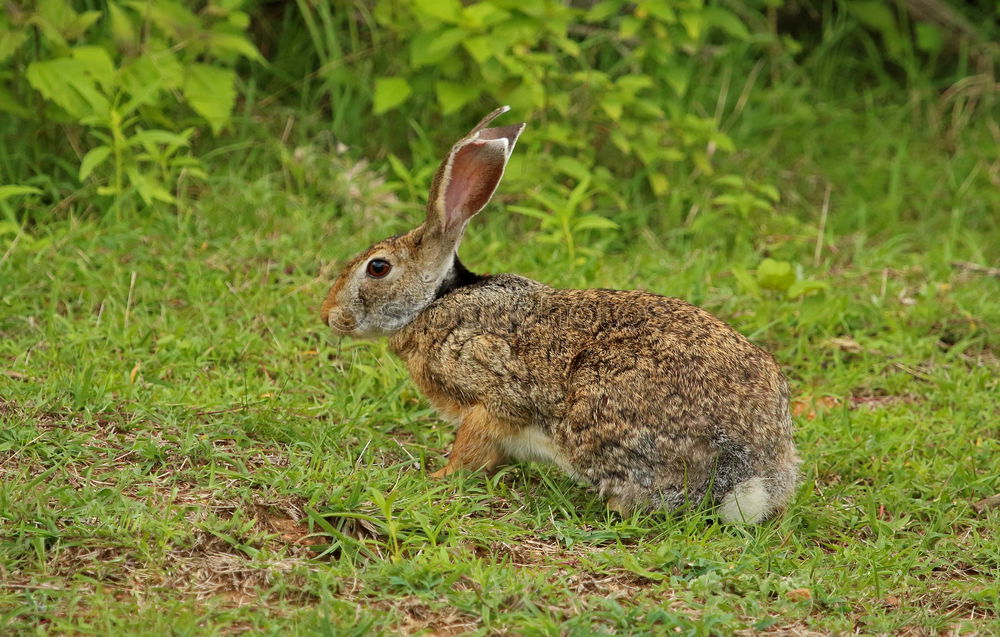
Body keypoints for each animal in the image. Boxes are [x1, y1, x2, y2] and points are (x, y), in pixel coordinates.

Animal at [324, 105, 800, 520]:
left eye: (378, 267)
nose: (329, 315)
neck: (435, 300)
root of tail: (750, 474)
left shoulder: (489, 395)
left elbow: (473, 445)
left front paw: (440, 475)